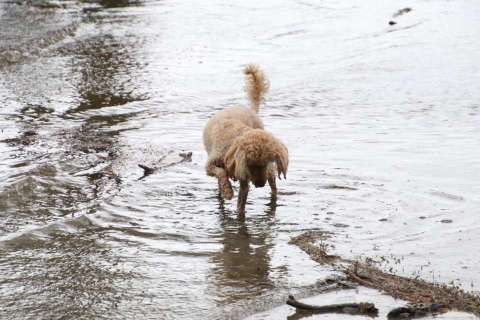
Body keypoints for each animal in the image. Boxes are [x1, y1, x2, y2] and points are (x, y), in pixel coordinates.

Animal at [202, 64, 288, 215]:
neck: (235, 137)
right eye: (251, 164)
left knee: (273, 186)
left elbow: (241, 200)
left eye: (266, 162)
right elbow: (221, 173)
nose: (260, 185)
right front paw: (228, 191)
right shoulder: (211, 166)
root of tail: (251, 110)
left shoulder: (243, 174)